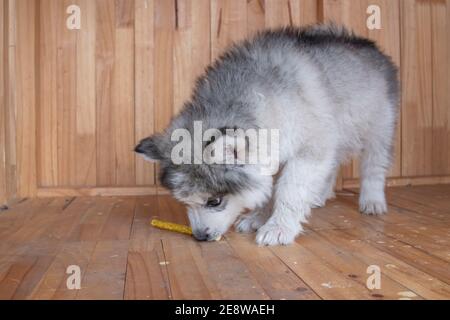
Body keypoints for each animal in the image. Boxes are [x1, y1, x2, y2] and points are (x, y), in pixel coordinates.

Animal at [135, 24, 400, 245]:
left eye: (214, 201)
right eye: (185, 202)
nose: (200, 237)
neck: (264, 99)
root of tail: (367, 43)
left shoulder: (308, 150)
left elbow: (289, 191)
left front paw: (279, 227)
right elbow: (268, 190)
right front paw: (258, 217)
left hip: (378, 128)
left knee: (374, 166)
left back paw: (372, 200)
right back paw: (319, 195)